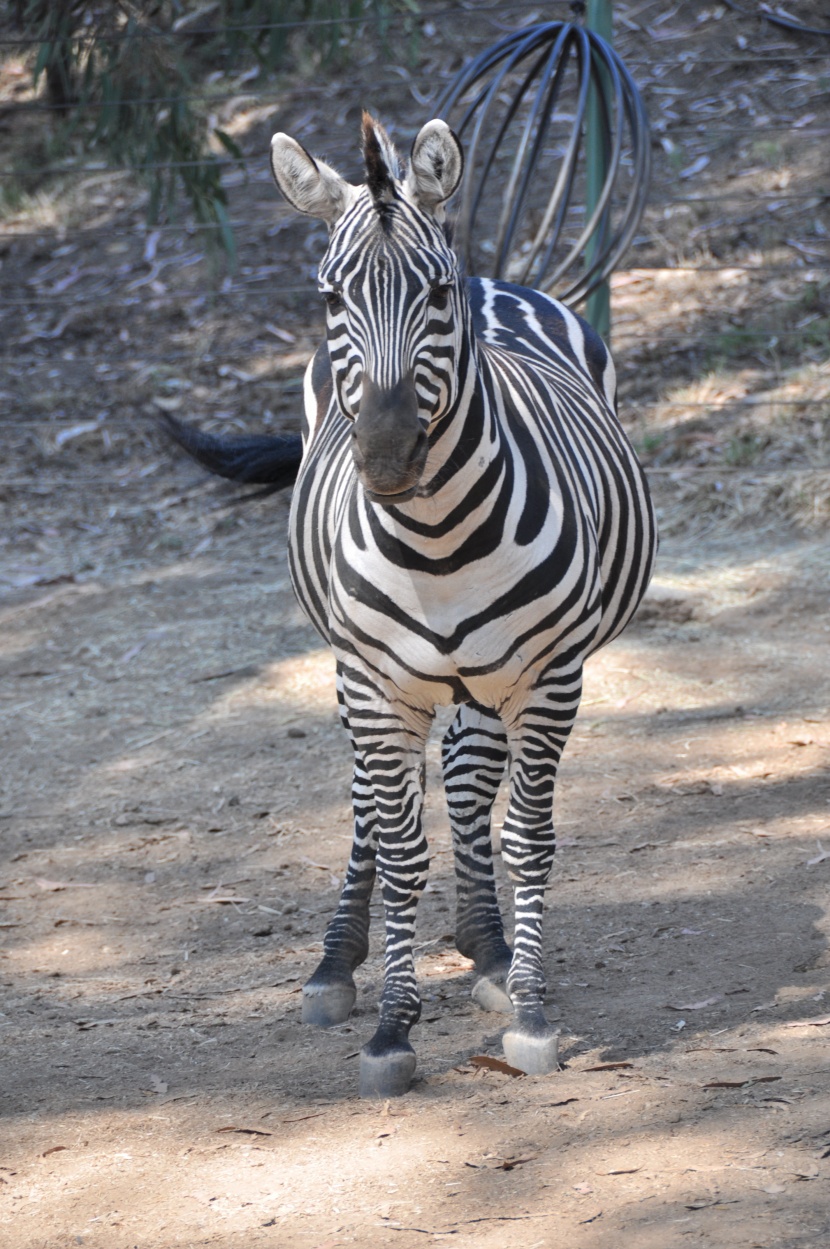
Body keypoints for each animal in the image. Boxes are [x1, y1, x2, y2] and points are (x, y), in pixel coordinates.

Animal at [167, 114, 654, 1094]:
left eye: (434, 292)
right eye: (329, 297)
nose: (388, 457)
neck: (435, 541)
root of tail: (497, 277)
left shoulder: (550, 677)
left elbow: (527, 835)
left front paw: (529, 1009)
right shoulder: (375, 682)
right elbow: (396, 847)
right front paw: (392, 1026)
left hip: (487, 676)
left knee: (468, 774)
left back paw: (490, 946)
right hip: (358, 666)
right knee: (368, 797)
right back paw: (336, 961)